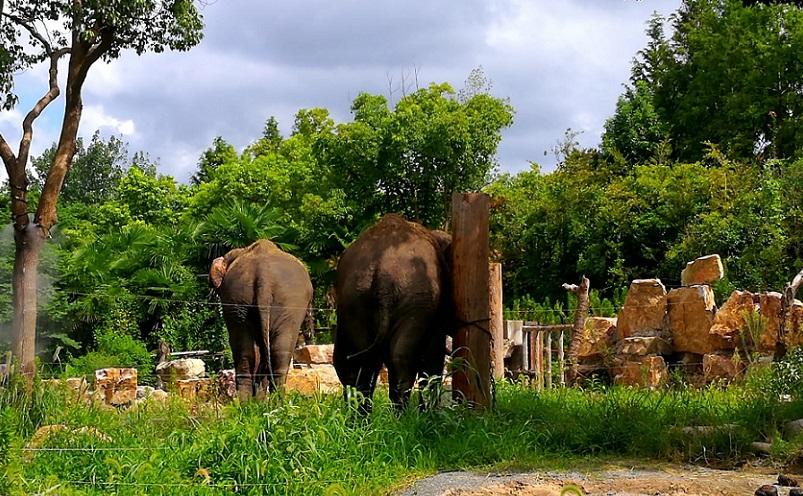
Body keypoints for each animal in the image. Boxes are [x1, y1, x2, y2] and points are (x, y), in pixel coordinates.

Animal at [210, 238, 314, 402]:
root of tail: (264, 277)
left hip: (239, 299)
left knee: (248, 352)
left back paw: (247, 404)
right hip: (284, 304)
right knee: (278, 351)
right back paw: (275, 402)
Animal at [332, 213, 456, 410]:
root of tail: (382, 271)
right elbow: (433, 357)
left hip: (354, 298)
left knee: (364, 361)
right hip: (415, 299)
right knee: (401, 359)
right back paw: (404, 416)